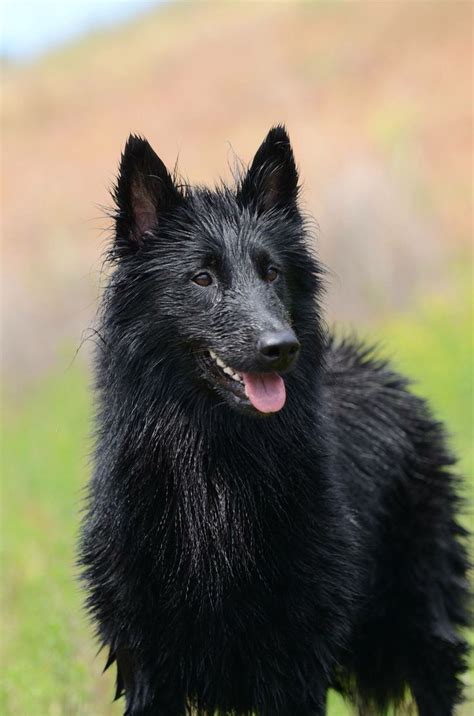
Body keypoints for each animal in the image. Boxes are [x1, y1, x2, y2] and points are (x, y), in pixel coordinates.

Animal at [79, 126, 468, 712]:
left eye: (271, 272)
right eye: (202, 278)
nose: (282, 347)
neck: (214, 471)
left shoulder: (295, 662)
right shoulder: (146, 664)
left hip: (421, 618)